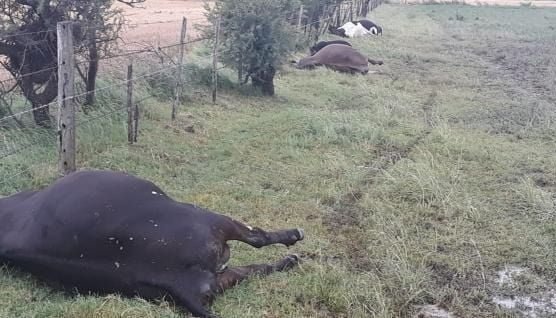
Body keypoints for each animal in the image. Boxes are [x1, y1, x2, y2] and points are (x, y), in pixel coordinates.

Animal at [0, 170, 304, 318]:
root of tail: (176, 279)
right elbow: (257, 237)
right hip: (211, 221)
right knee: (257, 240)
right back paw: (293, 239)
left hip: (222, 275)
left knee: (257, 268)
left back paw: (290, 261)